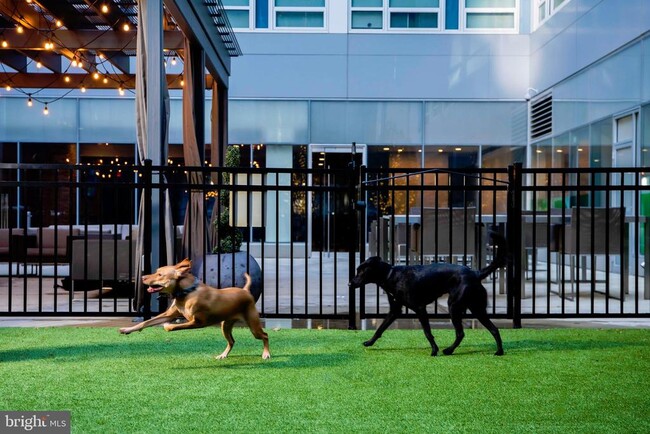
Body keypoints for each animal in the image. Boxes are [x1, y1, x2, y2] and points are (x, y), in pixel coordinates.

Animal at [119, 258, 268, 360]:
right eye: (156, 272)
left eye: (160, 274)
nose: (143, 277)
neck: (187, 292)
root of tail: (245, 291)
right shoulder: (168, 314)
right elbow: (145, 322)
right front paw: (127, 329)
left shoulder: (197, 322)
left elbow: (172, 327)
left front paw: (167, 326)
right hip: (225, 325)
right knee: (231, 341)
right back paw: (223, 355)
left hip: (253, 326)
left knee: (265, 335)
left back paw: (266, 354)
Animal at [350, 231, 506, 356]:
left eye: (360, 271)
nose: (350, 284)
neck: (390, 275)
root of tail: (476, 274)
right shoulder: (394, 310)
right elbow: (380, 328)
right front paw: (369, 342)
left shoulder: (420, 308)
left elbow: (427, 332)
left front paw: (434, 350)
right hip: (476, 308)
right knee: (494, 329)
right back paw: (498, 351)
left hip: (455, 306)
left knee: (461, 333)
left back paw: (449, 350)